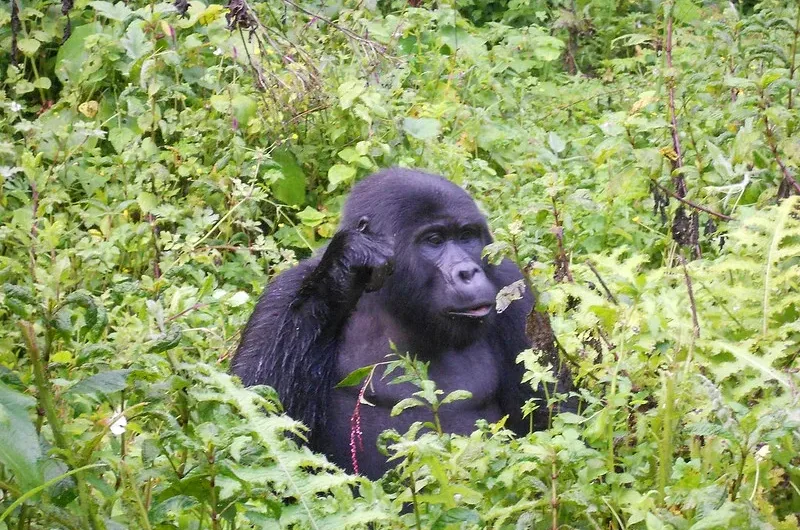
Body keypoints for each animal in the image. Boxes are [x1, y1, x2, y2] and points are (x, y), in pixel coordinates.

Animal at [231, 167, 568, 476]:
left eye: (467, 236)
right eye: (434, 240)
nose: (468, 272)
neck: (392, 300)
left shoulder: (513, 290)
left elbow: (554, 419)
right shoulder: (282, 295)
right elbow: (259, 422)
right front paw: (343, 265)